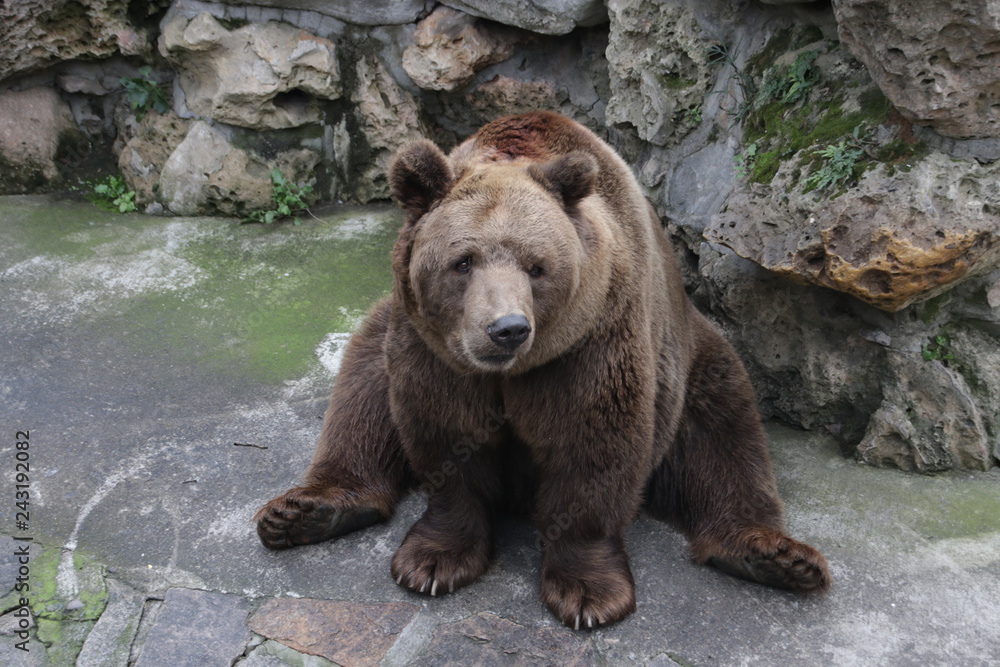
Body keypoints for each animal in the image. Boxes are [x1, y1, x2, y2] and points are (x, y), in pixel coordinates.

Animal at [255, 111, 830, 629]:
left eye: (537, 266)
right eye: (463, 261)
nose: (507, 328)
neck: (509, 372)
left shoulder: (587, 343)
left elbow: (591, 450)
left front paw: (588, 593)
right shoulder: (435, 356)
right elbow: (445, 439)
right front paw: (433, 561)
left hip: (692, 360)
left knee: (726, 434)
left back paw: (774, 557)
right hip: (386, 331)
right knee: (361, 394)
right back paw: (306, 511)